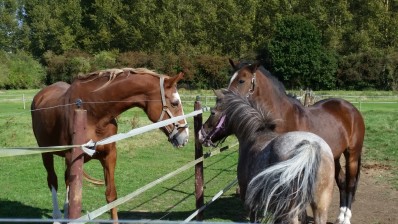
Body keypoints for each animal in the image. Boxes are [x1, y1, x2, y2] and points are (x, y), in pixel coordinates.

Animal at [30, 67, 189, 221]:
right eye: (175, 103)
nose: (185, 137)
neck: (93, 112)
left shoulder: (109, 155)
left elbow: (111, 196)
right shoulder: (72, 157)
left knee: (66, 181)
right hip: (46, 153)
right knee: (53, 180)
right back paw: (57, 216)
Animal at [198, 89, 332, 224]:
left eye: (213, 112)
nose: (201, 135)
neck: (254, 136)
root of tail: (310, 146)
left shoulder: (249, 197)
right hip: (320, 206)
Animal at [225, 59, 366, 224]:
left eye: (241, 80)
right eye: (230, 79)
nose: (225, 103)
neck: (284, 117)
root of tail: (351, 108)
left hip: (352, 154)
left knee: (350, 183)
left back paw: (346, 218)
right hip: (334, 156)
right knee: (342, 181)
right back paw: (340, 215)